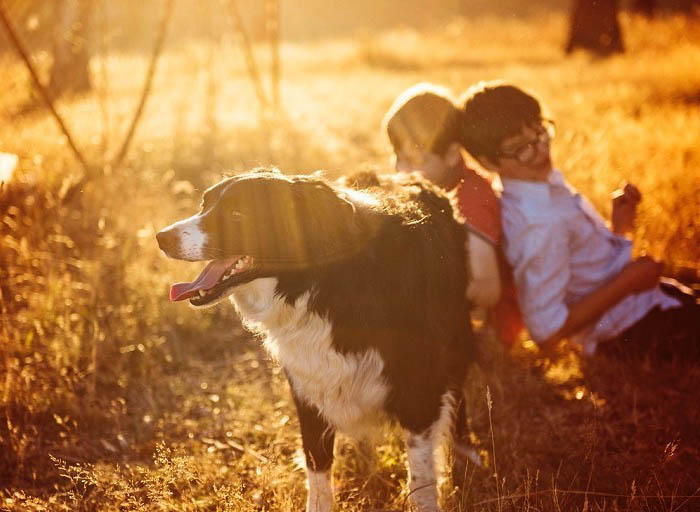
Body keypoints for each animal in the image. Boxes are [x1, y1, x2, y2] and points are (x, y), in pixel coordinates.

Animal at [157, 169, 476, 512]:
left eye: (237, 214)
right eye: (205, 204)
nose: (162, 237)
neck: (322, 284)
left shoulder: (419, 390)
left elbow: (421, 478)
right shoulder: (308, 387)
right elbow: (318, 469)